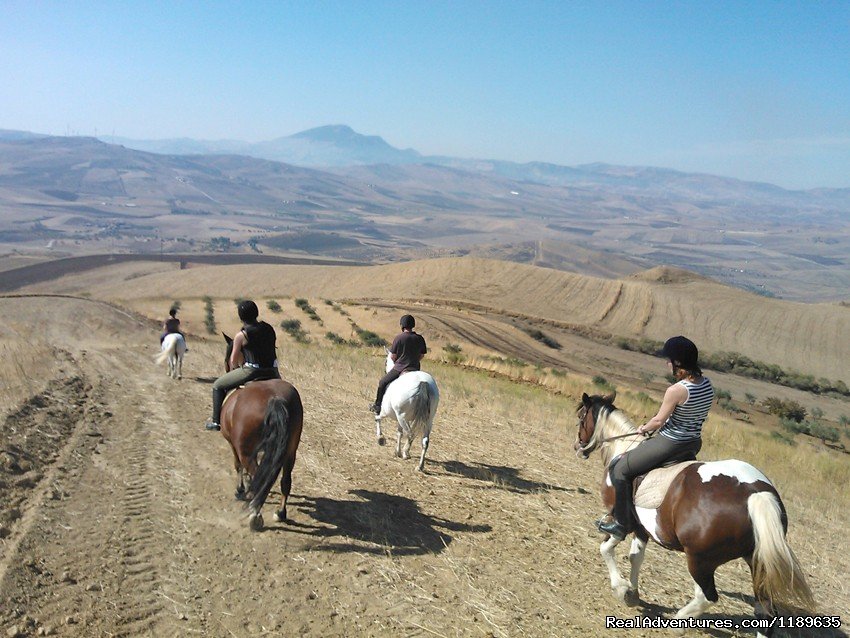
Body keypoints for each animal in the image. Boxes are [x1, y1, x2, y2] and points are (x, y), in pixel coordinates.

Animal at [219, 332, 302, 532]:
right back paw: (280, 513)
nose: (227, 366)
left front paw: (240, 490)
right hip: (291, 451)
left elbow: (238, 466)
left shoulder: (234, 445)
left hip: (246, 451)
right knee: (285, 480)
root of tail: (275, 399)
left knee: (258, 475)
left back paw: (254, 514)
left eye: (227, 356)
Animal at [572, 392, 812, 636]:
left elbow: (606, 548)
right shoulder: (641, 528)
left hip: (700, 560)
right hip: (757, 562)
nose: (578, 446)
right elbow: (635, 557)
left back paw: (679, 622)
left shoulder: (620, 520)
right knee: (765, 610)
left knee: (707, 597)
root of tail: (756, 494)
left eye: (581, 417)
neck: (623, 448)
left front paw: (621, 588)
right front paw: (632, 593)